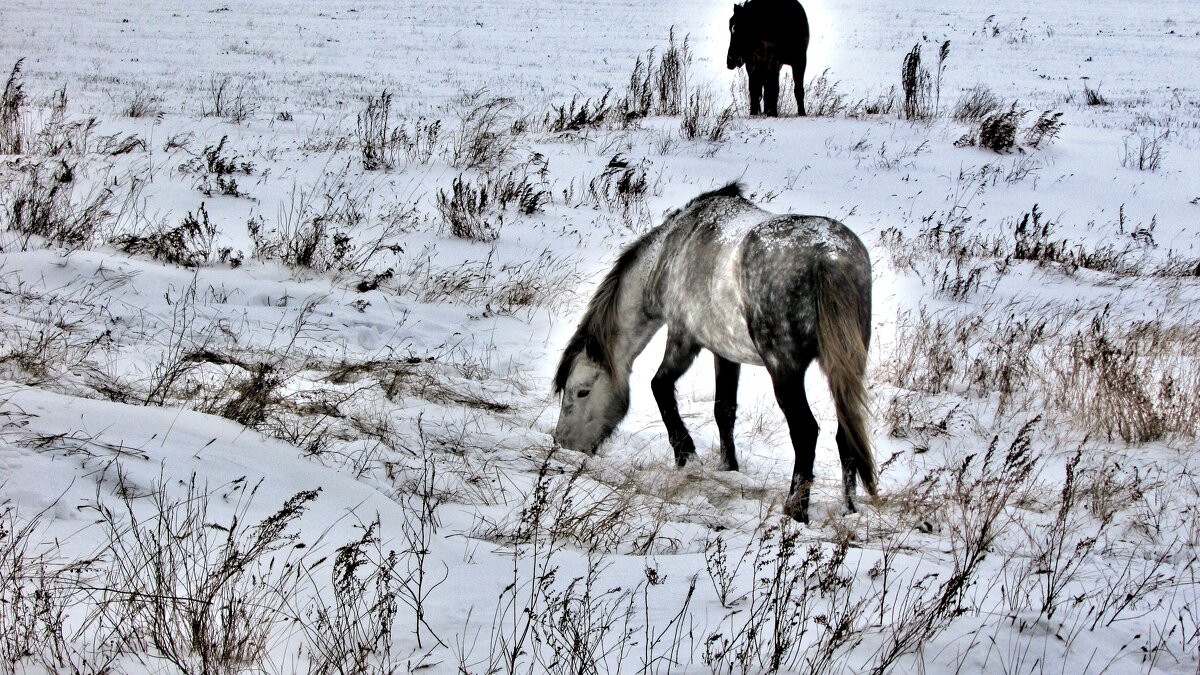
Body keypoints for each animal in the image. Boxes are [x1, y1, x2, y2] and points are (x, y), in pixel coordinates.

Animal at [549, 182, 873, 521]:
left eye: (582, 391)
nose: (563, 443)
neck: (669, 254)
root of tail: (831, 257)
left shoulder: (684, 336)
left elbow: (660, 387)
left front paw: (686, 455)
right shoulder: (725, 352)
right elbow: (724, 409)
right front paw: (728, 467)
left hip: (784, 369)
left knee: (805, 431)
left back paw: (795, 509)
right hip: (844, 366)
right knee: (845, 434)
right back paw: (848, 508)